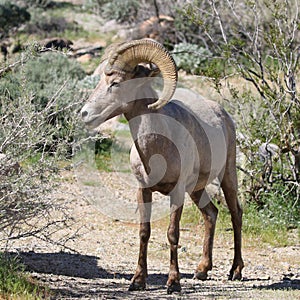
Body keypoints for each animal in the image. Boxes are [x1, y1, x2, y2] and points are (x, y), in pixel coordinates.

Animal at [80, 39, 244, 292]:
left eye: (116, 83)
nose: (84, 114)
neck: (157, 148)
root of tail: (223, 114)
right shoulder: (143, 190)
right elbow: (144, 232)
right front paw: (137, 281)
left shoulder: (176, 193)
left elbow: (172, 234)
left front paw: (173, 283)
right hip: (196, 190)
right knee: (211, 214)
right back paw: (201, 271)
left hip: (227, 176)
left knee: (236, 214)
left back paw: (235, 271)